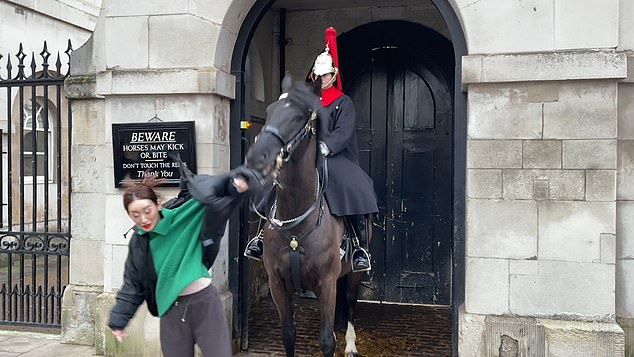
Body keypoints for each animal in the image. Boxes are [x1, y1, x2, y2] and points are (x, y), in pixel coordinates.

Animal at [244, 76, 368, 354]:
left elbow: (327, 341)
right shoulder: (278, 283)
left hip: (353, 274)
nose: (257, 156)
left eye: (298, 116)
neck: (296, 222)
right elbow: (288, 334)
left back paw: (350, 344)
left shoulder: (327, 282)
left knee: (350, 302)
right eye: (269, 111)